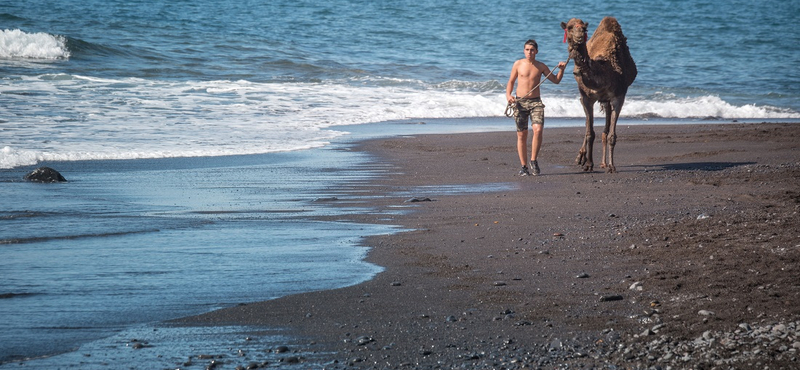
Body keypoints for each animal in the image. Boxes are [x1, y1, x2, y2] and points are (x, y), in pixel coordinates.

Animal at [564, 17, 636, 173]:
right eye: (569, 27)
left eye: (584, 28)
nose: (579, 36)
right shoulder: (586, 98)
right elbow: (590, 132)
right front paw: (588, 164)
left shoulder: (618, 97)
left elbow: (611, 135)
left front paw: (612, 166)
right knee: (588, 124)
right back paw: (581, 157)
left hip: (607, 101)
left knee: (605, 129)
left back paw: (604, 163)